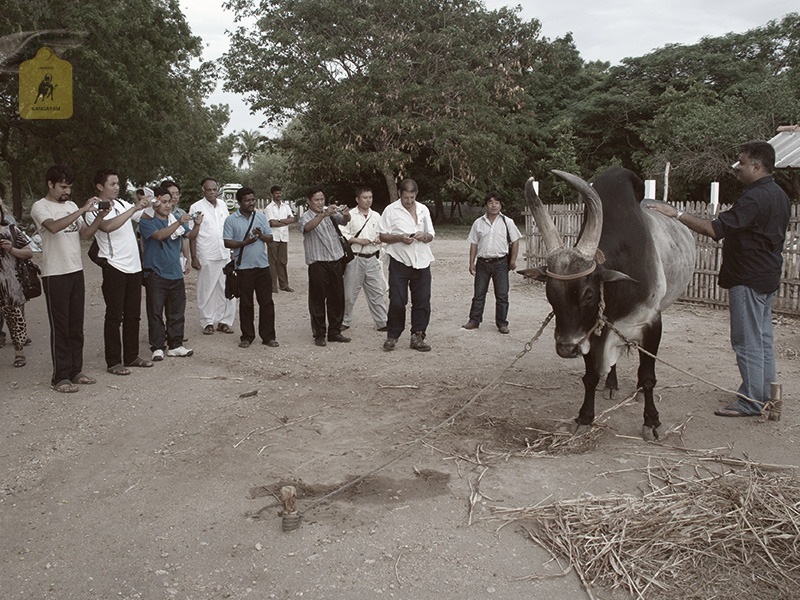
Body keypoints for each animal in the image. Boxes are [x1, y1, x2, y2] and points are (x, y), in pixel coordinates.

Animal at [524, 169, 692, 440]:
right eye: (550, 294)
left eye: (589, 294)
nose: (566, 349)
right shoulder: (590, 332)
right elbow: (591, 377)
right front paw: (585, 417)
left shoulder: (652, 322)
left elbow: (648, 376)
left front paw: (652, 421)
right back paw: (611, 384)